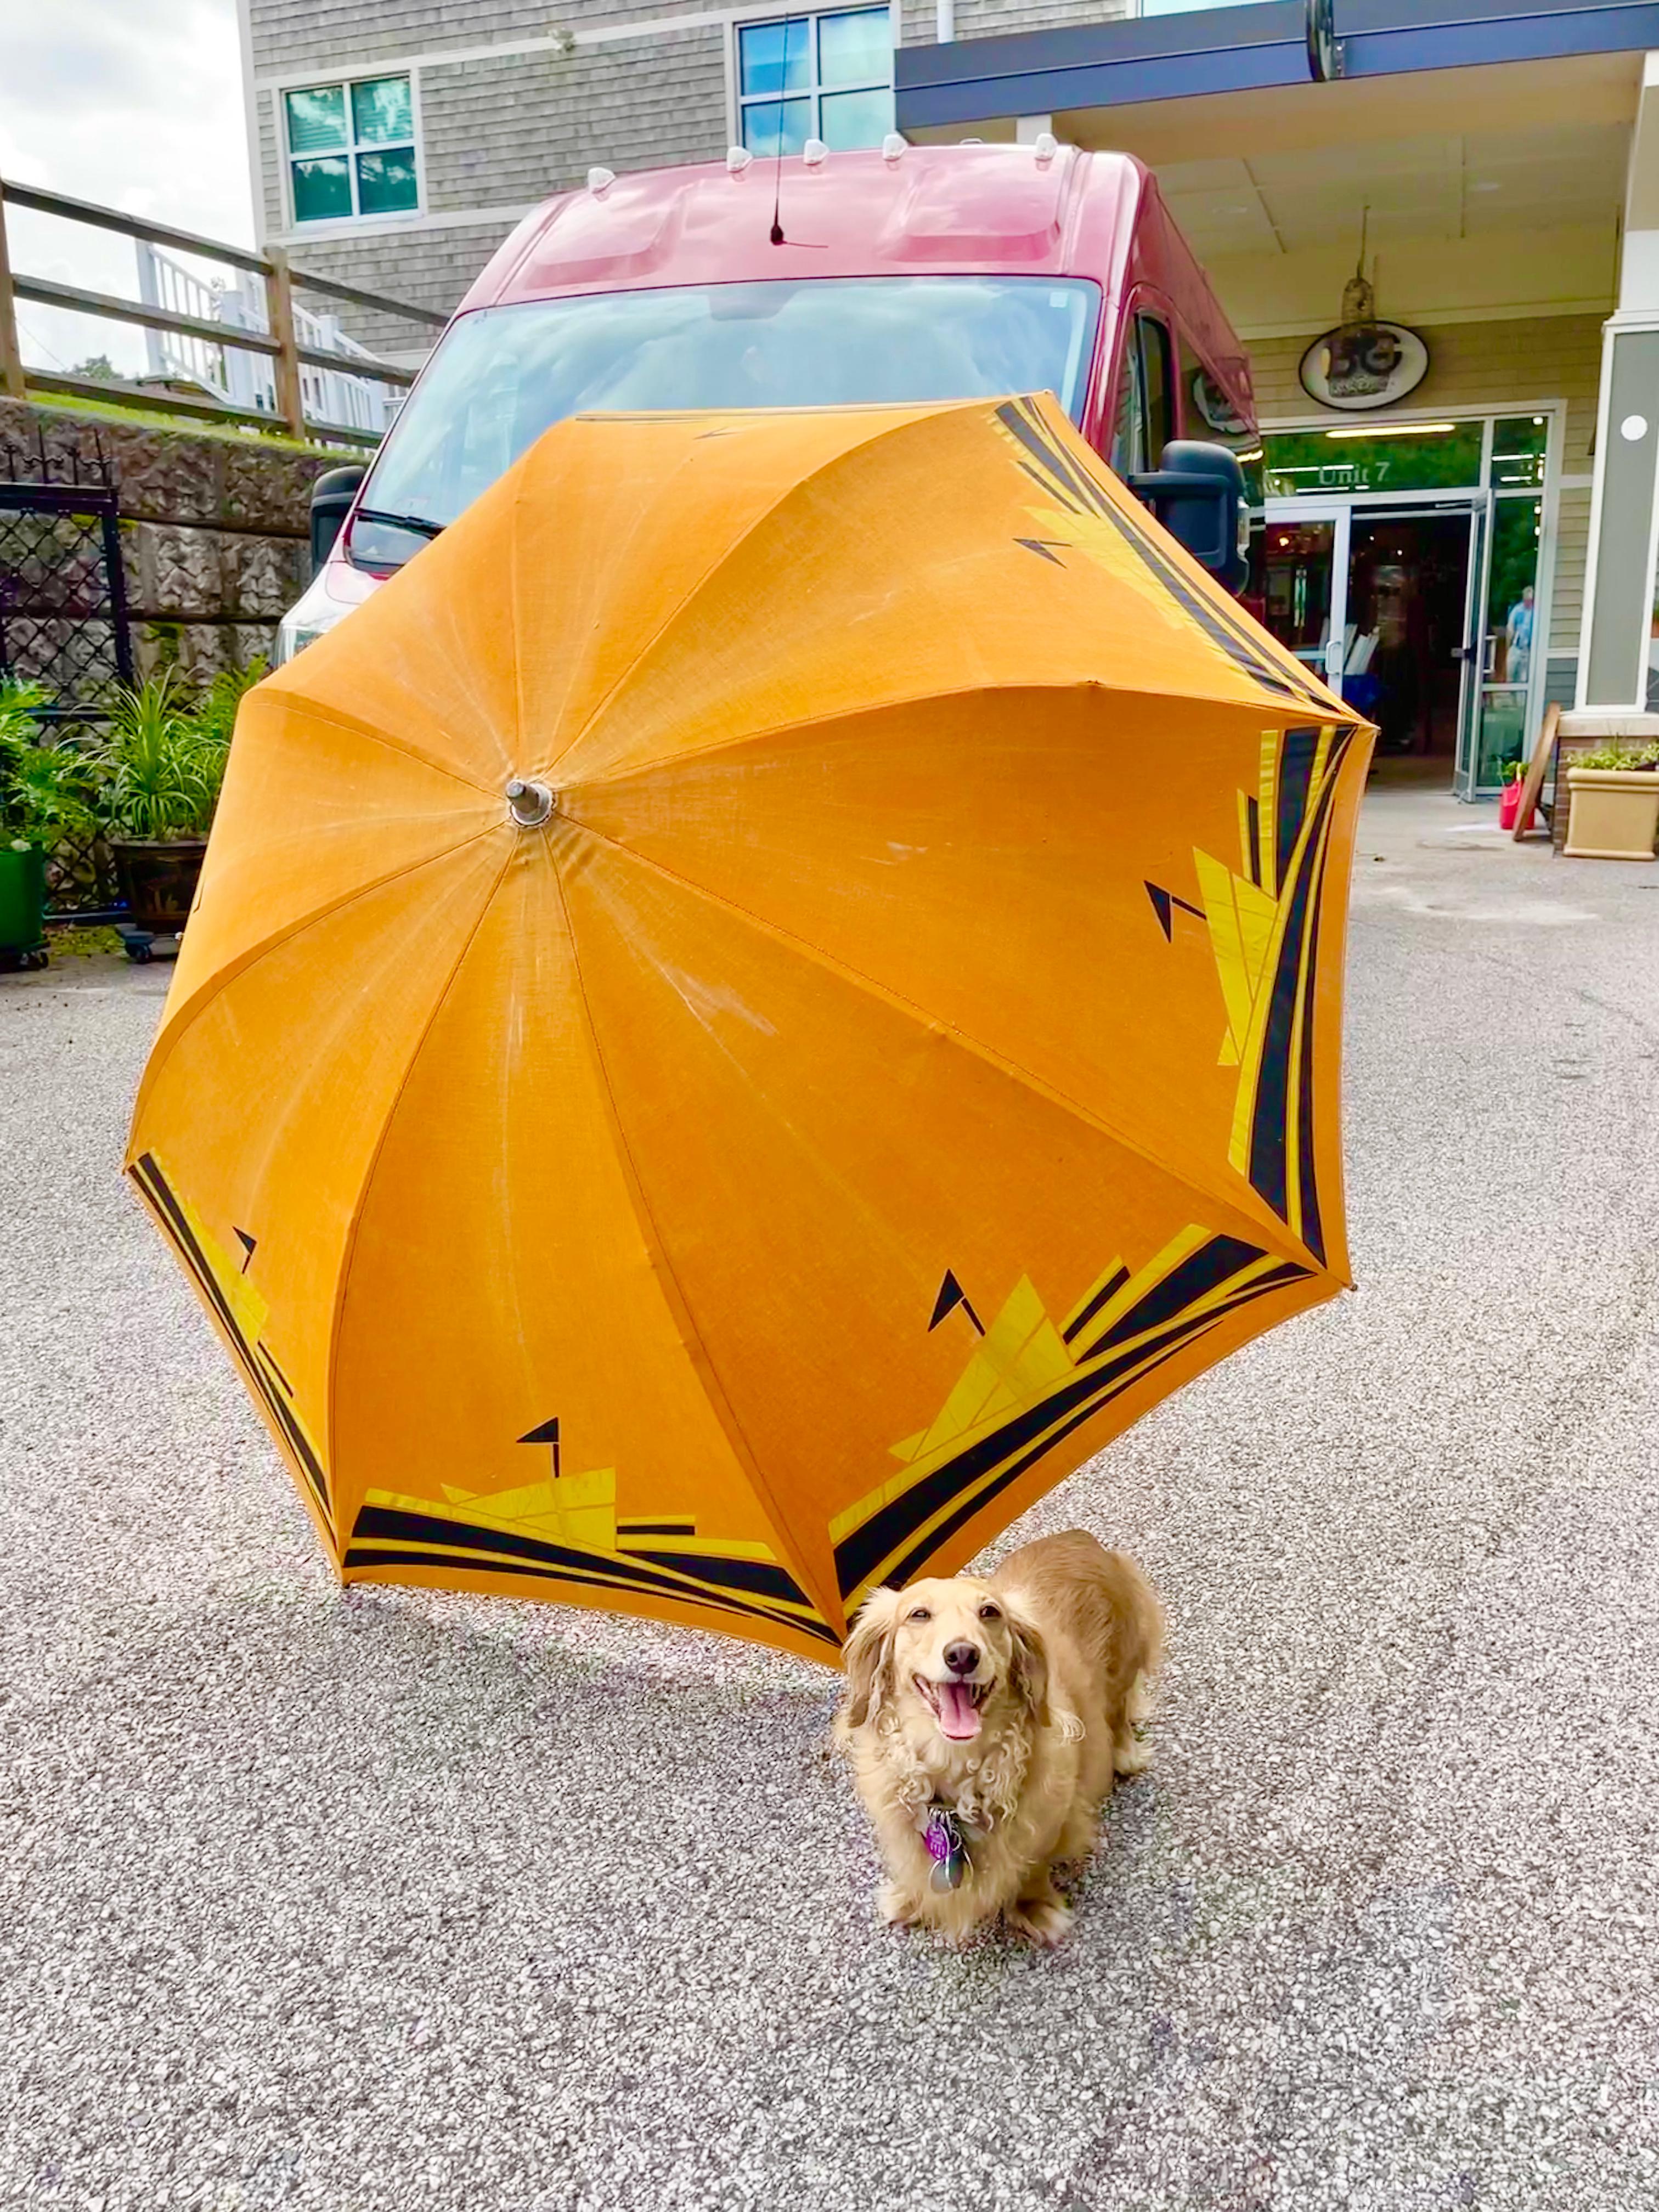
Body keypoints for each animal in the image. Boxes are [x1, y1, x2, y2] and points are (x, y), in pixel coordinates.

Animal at [836, 1531, 1159, 1946]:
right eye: (919, 1614)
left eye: (990, 1612)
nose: (962, 1655)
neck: (955, 1766)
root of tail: (1080, 1537)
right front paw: (909, 1898)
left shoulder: (1048, 1818)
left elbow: (1032, 1866)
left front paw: (1035, 1909)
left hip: (1123, 1664)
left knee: (1117, 1713)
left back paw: (1125, 1752)